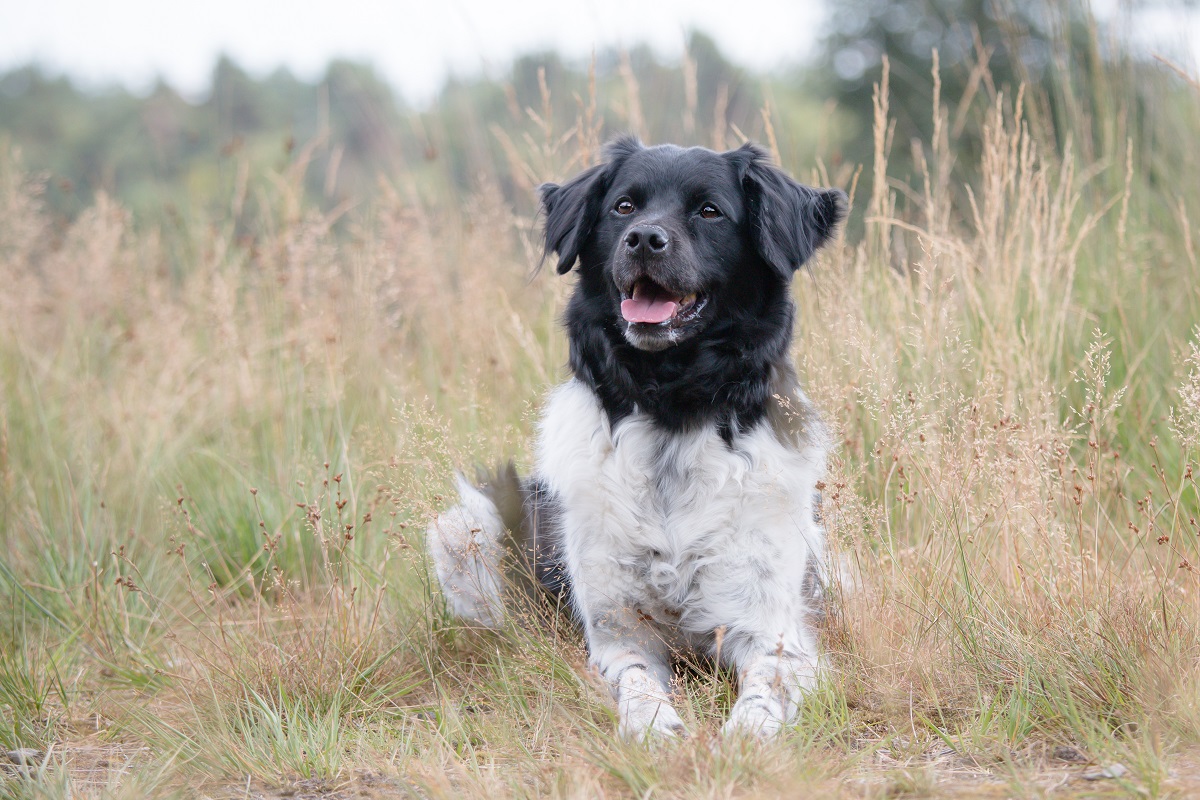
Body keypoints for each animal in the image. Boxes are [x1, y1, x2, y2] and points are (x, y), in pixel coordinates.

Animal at [427, 136, 849, 738]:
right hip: (466, 526)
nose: (644, 239)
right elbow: (637, 682)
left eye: (709, 211)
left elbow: (764, 691)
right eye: (623, 207)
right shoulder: (617, 631)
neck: (671, 410)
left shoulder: (771, 630)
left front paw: (743, 740)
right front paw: (656, 731)